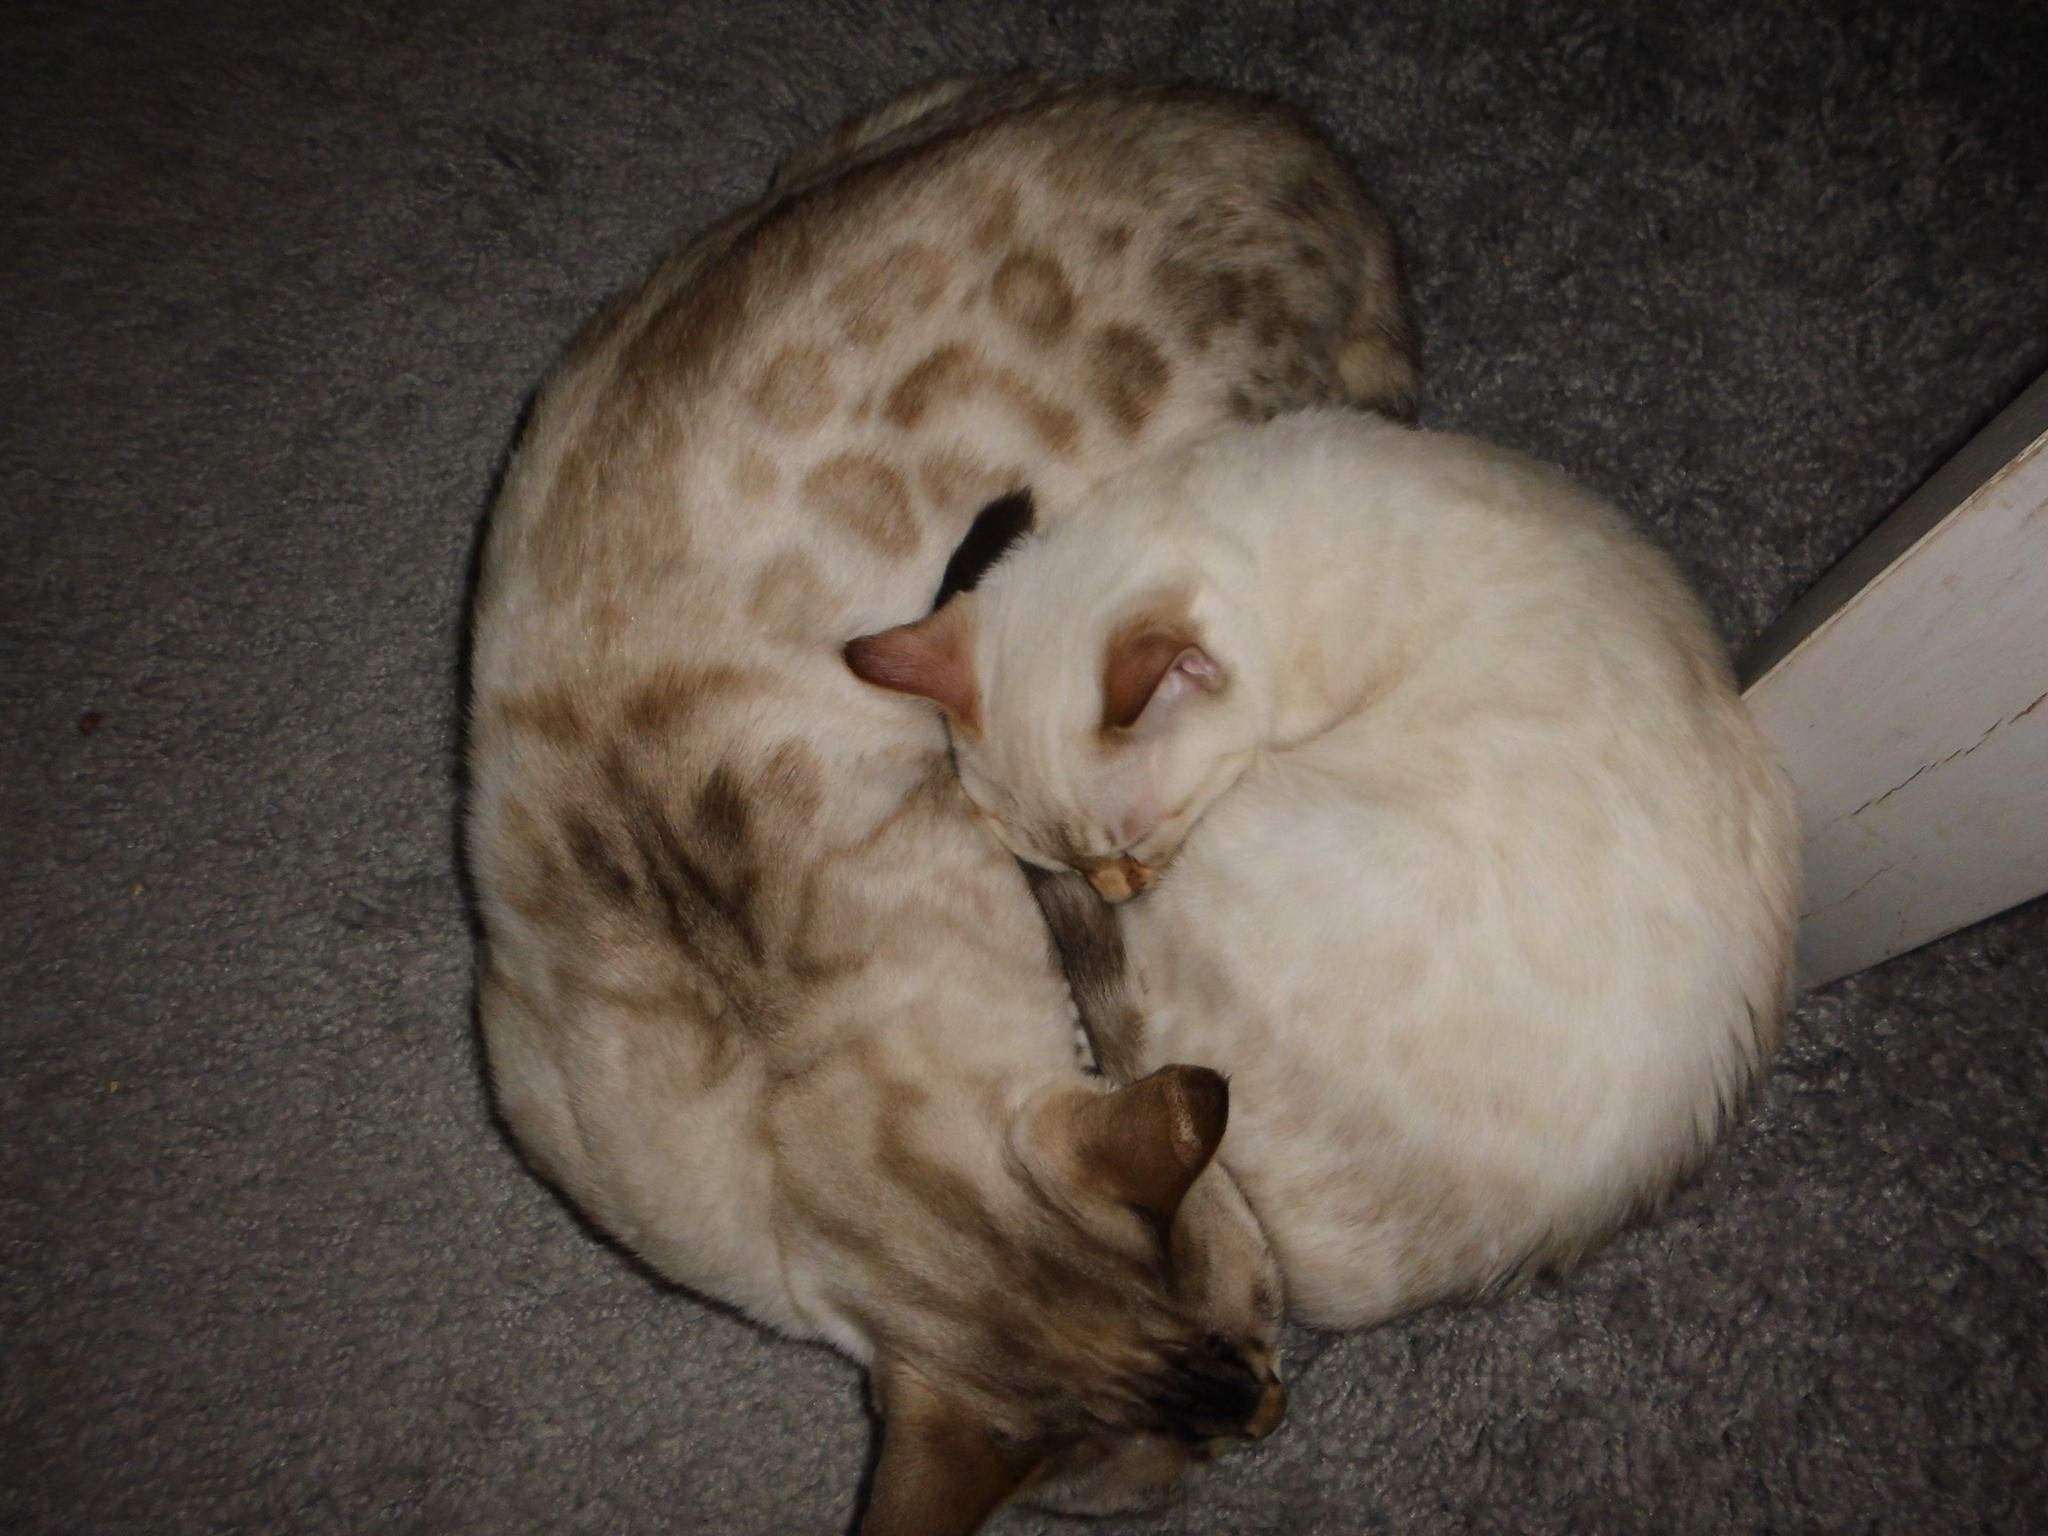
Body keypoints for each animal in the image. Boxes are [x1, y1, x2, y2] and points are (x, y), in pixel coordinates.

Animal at [465, 75, 1418, 1532]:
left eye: (1263, 1336)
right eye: (1220, 1425)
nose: (1272, 1410)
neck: (790, 1050)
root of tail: (1317, 157)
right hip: (831, 162)